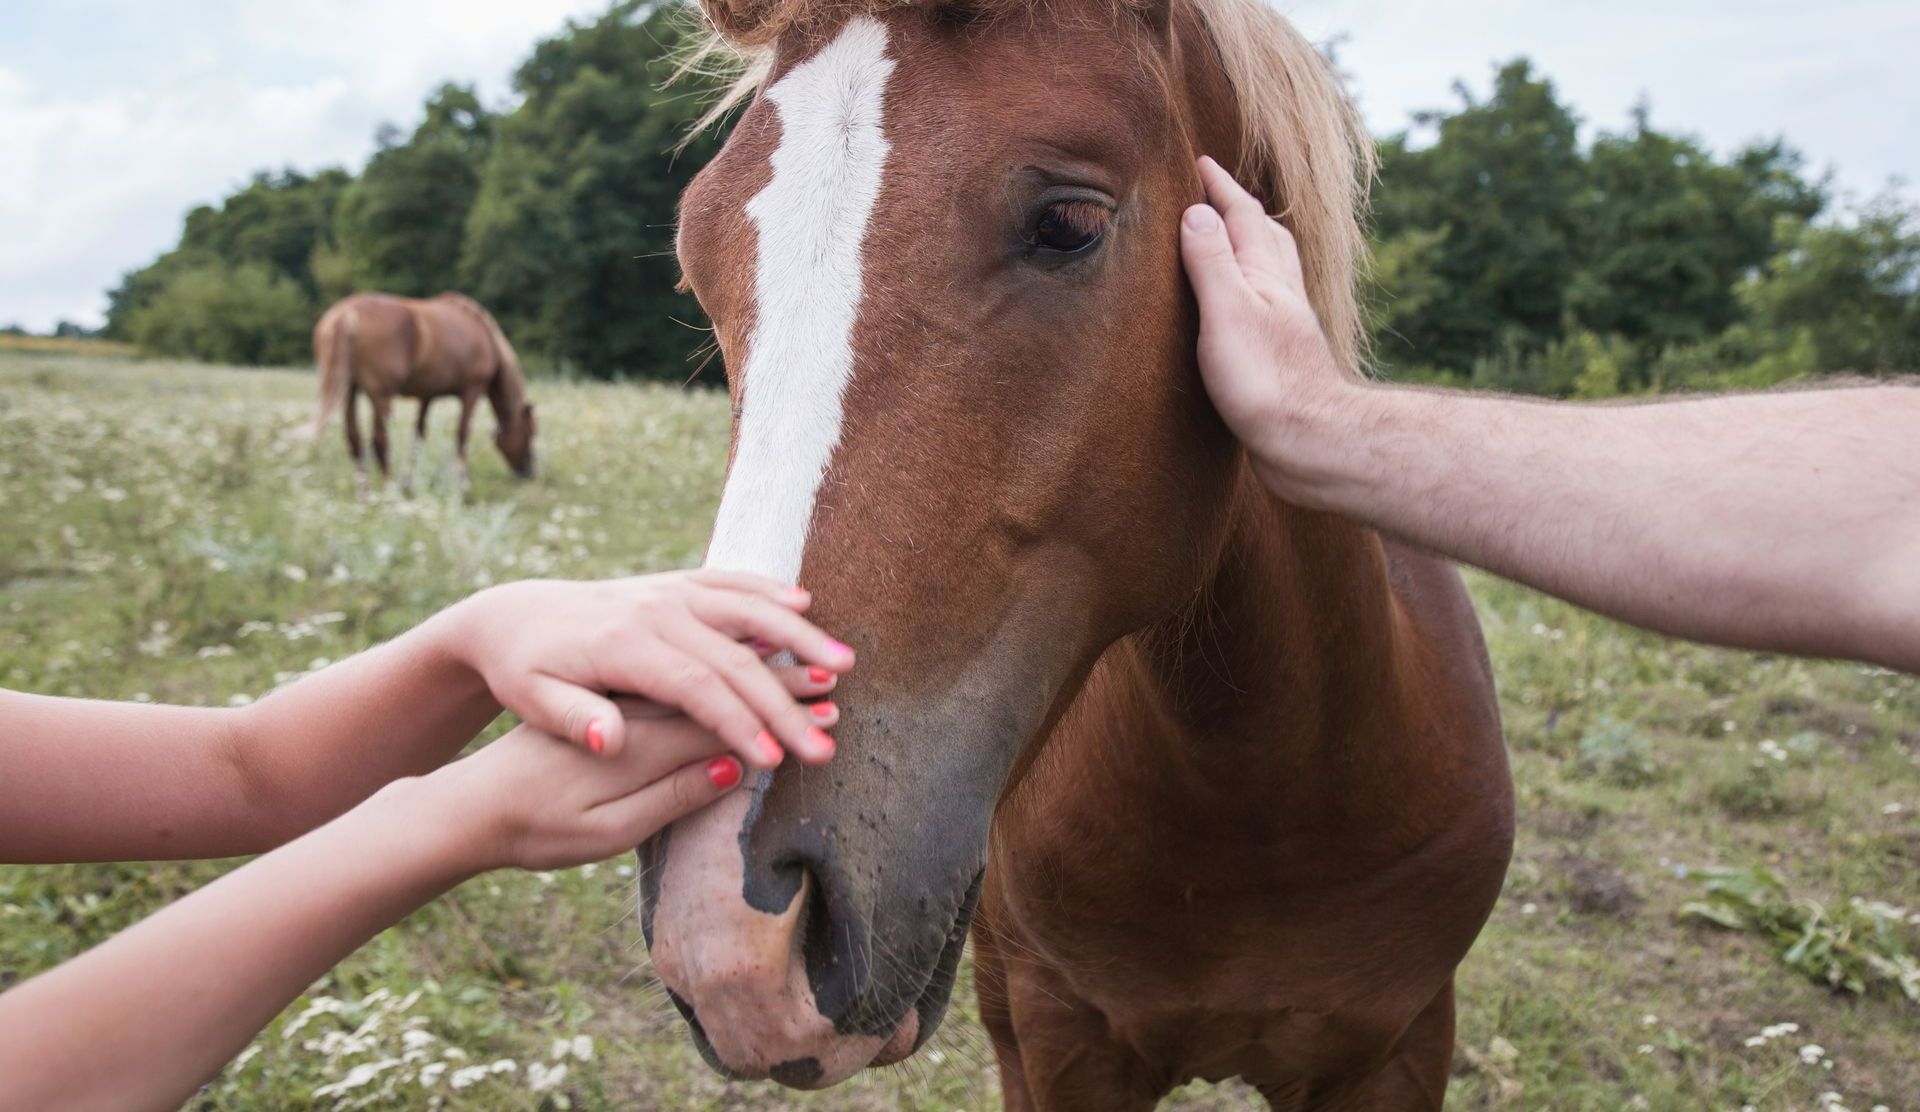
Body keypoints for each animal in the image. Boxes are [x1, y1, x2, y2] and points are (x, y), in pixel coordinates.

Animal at [310, 292, 537, 490]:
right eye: (530, 433)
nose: (528, 472)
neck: (486, 337)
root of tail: (346, 314)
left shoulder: (427, 396)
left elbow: (418, 436)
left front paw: (408, 482)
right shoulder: (472, 390)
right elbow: (462, 434)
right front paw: (463, 484)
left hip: (350, 392)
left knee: (354, 439)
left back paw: (365, 494)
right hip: (381, 396)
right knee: (379, 441)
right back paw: (388, 489)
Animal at [640, 0, 1515, 1106]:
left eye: (1068, 223)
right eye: (696, 261)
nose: (723, 923)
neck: (1265, 807)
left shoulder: (1397, 1047)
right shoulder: (1064, 1044)